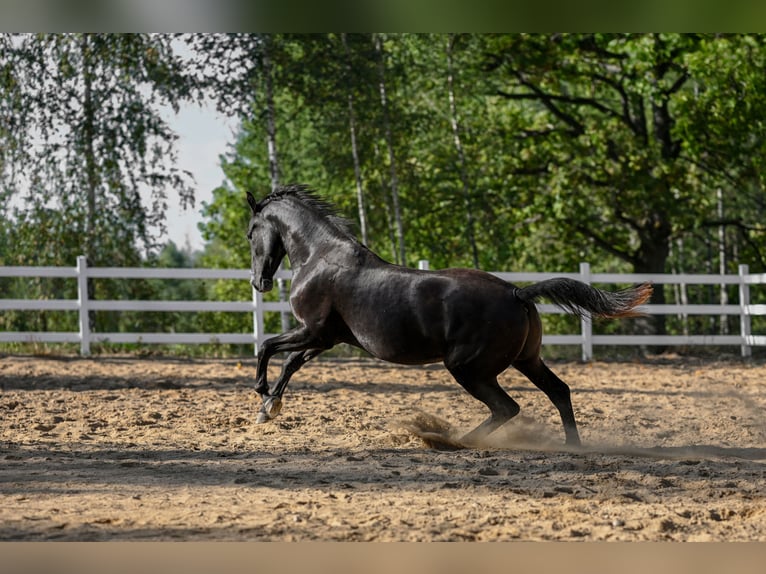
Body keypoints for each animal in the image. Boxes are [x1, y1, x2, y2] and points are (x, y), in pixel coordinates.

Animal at [248, 187, 656, 448]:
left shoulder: (314, 331)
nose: (259, 282)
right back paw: (572, 446)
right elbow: (291, 362)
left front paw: (262, 395)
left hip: (467, 368)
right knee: (559, 391)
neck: (320, 257)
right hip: (526, 360)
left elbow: (267, 347)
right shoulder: (325, 338)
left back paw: (452, 440)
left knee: (507, 407)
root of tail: (517, 293)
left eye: (252, 232)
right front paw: (270, 408)